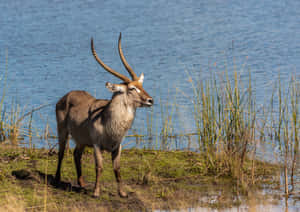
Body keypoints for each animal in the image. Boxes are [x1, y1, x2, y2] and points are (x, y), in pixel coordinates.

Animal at [54, 33, 154, 197]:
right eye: (132, 88)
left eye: (141, 85)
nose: (150, 100)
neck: (108, 121)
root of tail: (67, 95)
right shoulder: (96, 145)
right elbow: (99, 167)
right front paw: (96, 192)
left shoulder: (117, 147)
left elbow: (117, 169)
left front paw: (122, 193)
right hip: (62, 131)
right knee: (62, 152)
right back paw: (57, 180)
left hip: (81, 140)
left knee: (76, 154)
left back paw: (81, 183)